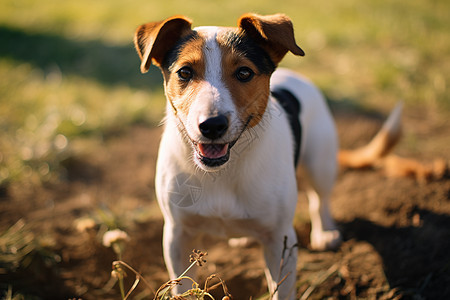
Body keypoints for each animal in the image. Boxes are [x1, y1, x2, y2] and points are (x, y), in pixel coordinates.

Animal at [134, 13, 400, 298]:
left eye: (244, 72)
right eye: (184, 72)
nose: (212, 125)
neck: (223, 171)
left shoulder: (280, 239)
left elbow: (281, 288)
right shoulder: (177, 235)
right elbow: (182, 285)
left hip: (320, 164)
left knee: (320, 200)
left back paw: (325, 232)